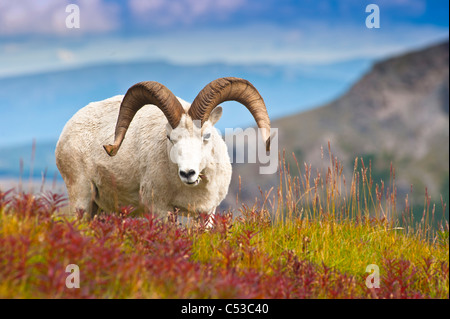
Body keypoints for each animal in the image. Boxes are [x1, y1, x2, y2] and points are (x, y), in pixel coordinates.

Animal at [55, 78, 270, 222]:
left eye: (206, 135)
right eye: (170, 137)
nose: (188, 173)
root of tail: (67, 129)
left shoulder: (207, 214)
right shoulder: (160, 210)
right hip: (81, 197)